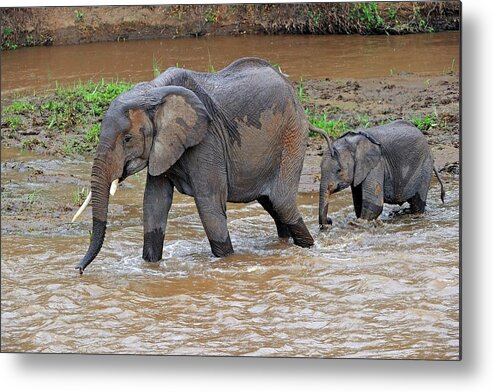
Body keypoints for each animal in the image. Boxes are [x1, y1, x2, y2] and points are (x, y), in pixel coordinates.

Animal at [73, 57, 312, 272]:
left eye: (127, 139)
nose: (79, 269)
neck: (154, 91)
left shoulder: (207, 140)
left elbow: (209, 204)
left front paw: (227, 263)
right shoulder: (163, 147)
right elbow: (154, 203)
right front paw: (150, 267)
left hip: (292, 135)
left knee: (282, 203)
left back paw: (309, 249)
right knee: (274, 206)